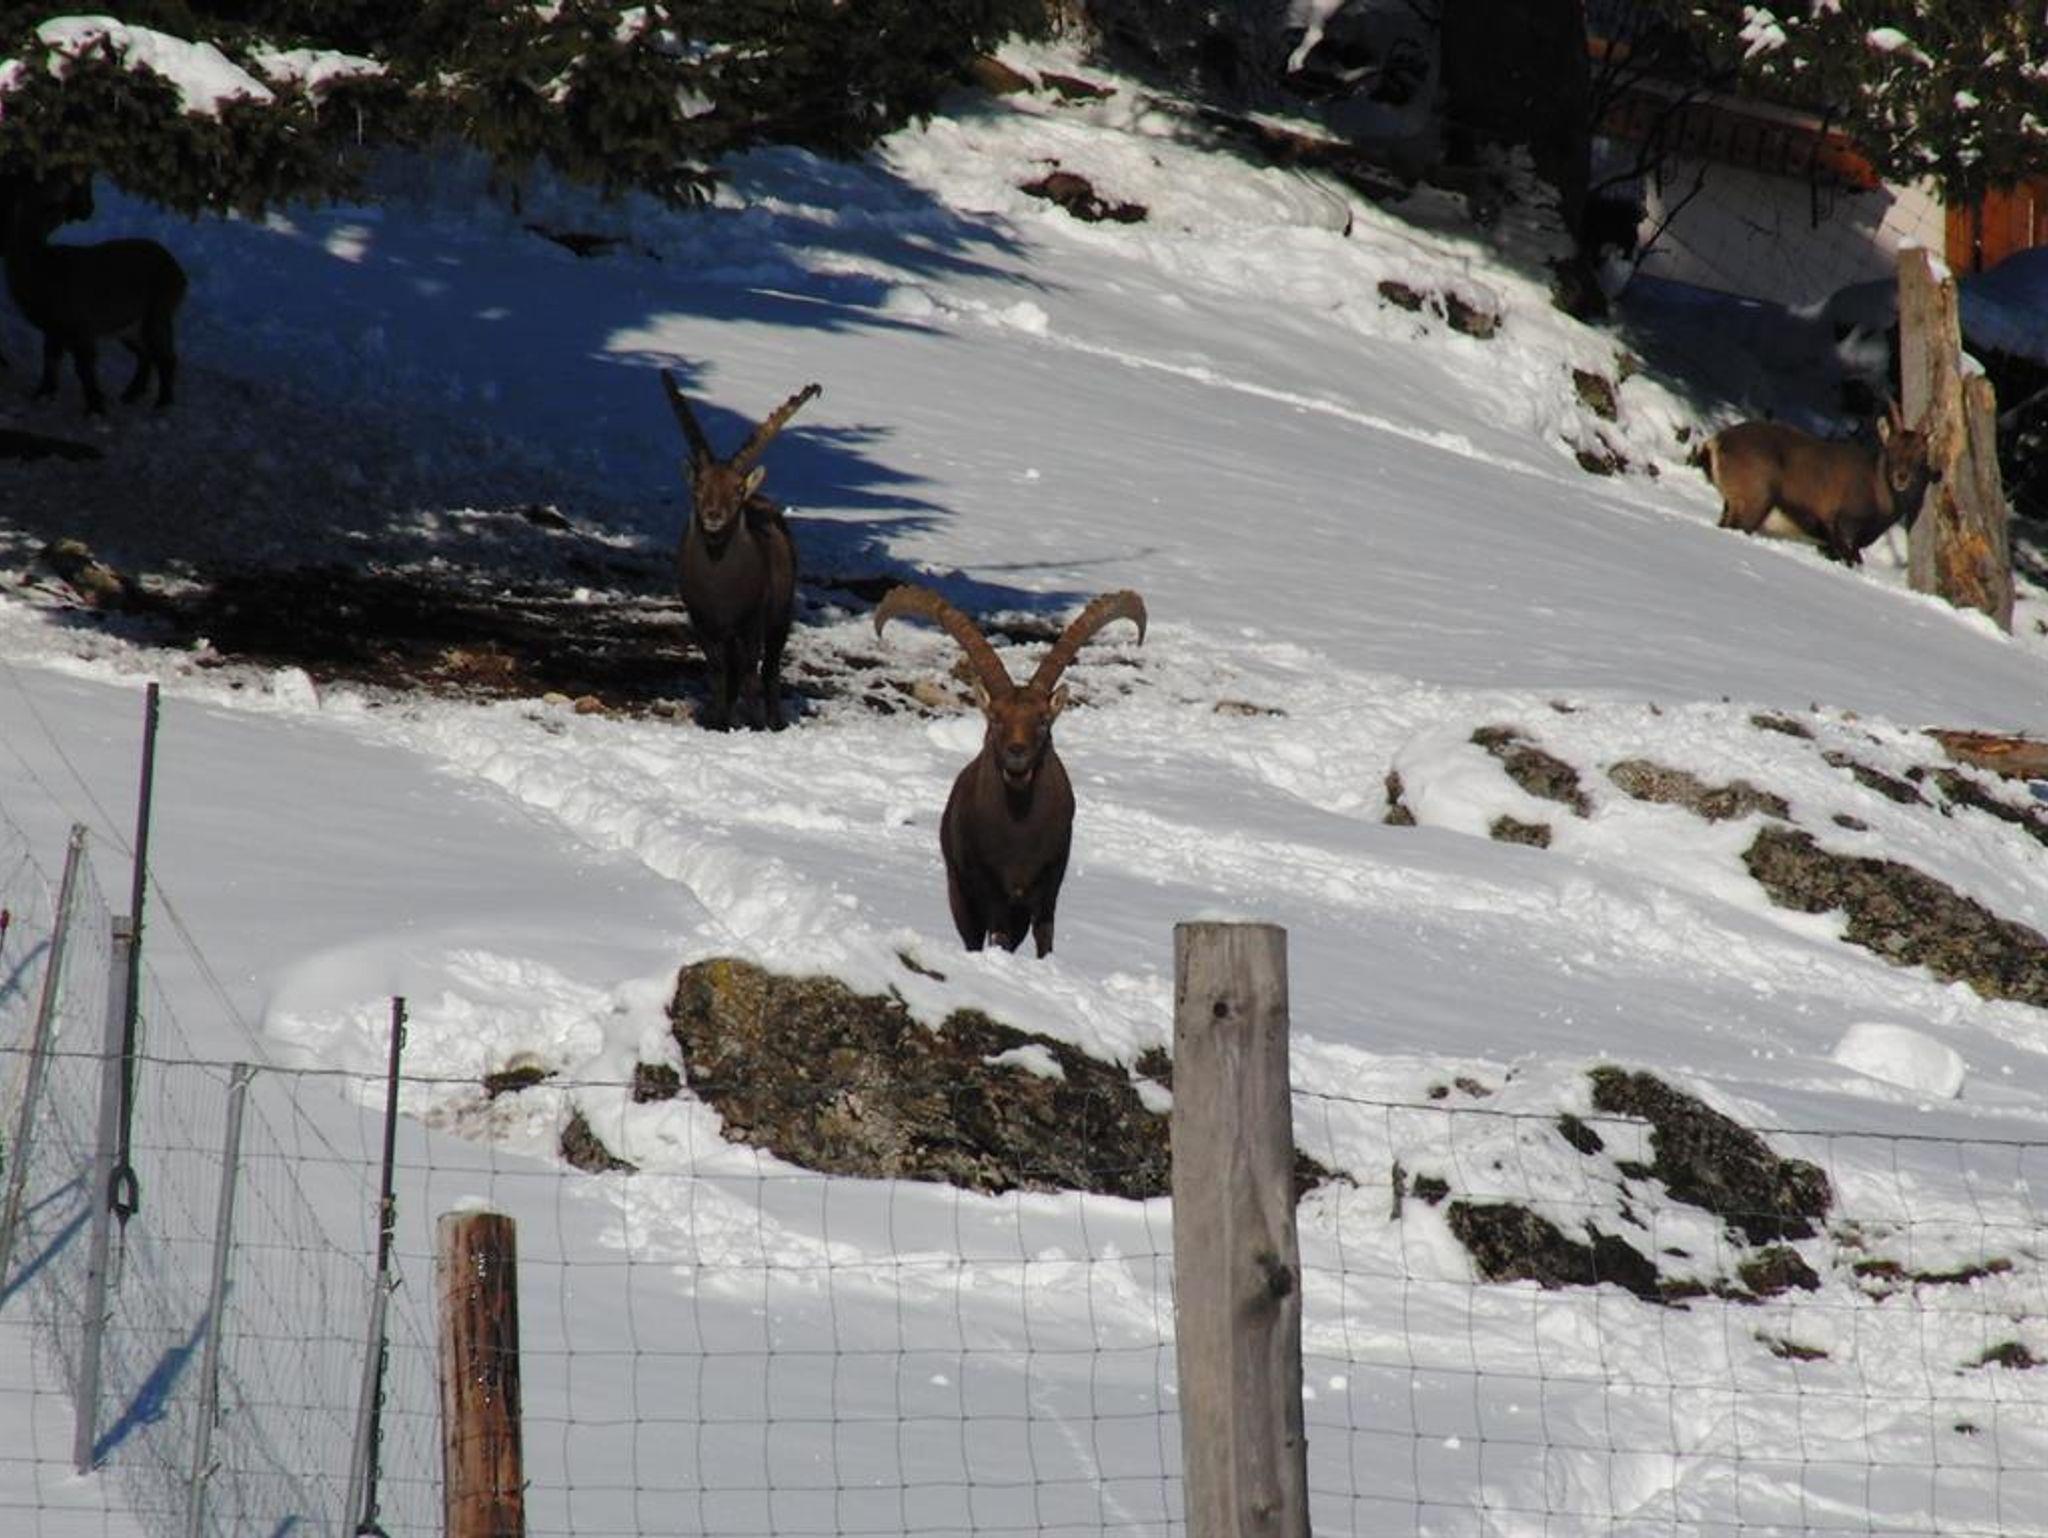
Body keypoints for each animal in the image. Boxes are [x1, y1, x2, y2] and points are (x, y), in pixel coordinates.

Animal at [1, 173, 187, 414]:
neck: (41, 270)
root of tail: (180, 275)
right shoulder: (54, 329)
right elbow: (50, 360)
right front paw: (42, 394)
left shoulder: (81, 325)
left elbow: (84, 368)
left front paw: (95, 407)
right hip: (128, 326)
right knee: (145, 354)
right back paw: (130, 395)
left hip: (157, 312)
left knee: (166, 357)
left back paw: (162, 403)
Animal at [660, 369, 820, 730]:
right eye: (699, 486)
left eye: (735, 490)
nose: (713, 516)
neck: (720, 588)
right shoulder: (702, 620)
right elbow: (719, 671)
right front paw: (718, 721)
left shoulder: (752, 620)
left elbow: (750, 671)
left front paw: (756, 723)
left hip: (780, 615)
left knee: (770, 667)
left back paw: (774, 719)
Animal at [874, 585, 1146, 958]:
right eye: (996, 718)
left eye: (1043, 720)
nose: (1017, 755)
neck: (1019, 834)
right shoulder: (988, 886)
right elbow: (996, 934)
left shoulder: (1049, 883)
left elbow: (1045, 937)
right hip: (959, 892)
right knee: (974, 938)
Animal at [1702, 400, 1937, 567]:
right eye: (1891, 448)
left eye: (1921, 453)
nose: (1901, 477)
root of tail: (1714, 443)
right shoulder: (1843, 528)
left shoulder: (1828, 543)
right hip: (1755, 499)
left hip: (1734, 502)